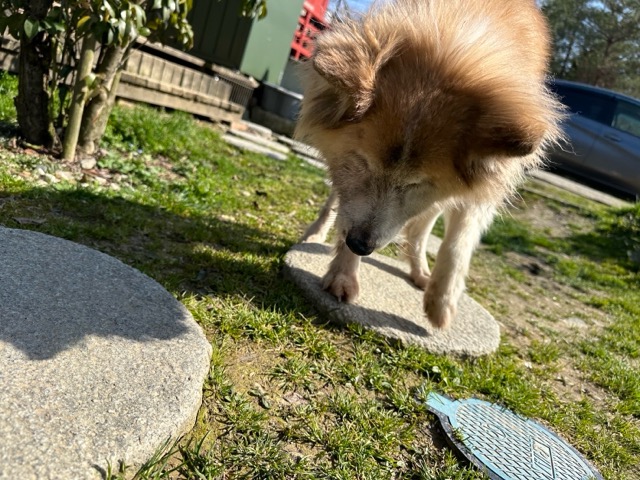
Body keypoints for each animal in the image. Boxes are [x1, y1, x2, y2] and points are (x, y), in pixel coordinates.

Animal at [295, 0, 563, 329]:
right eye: (362, 162)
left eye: (416, 183)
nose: (360, 245)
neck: (454, 34)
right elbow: (347, 210)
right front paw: (343, 275)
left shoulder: (481, 186)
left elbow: (457, 246)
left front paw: (442, 303)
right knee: (337, 202)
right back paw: (316, 233)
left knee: (422, 227)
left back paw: (420, 271)